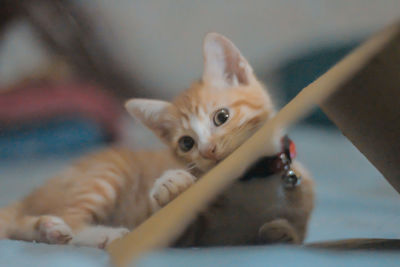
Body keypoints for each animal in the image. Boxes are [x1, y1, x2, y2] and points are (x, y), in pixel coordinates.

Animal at [0, 33, 312, 249]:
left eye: (221, 117)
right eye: (186, 143)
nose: (209, 151)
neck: (250, 180)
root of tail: (33, 194)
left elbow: (291, 234)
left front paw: (278, 232)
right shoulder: (186, 234)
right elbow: (167, 219)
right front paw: (171, 183)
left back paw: (48, 229)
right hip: (106, 172)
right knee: (69, 218)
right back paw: (100, 234)